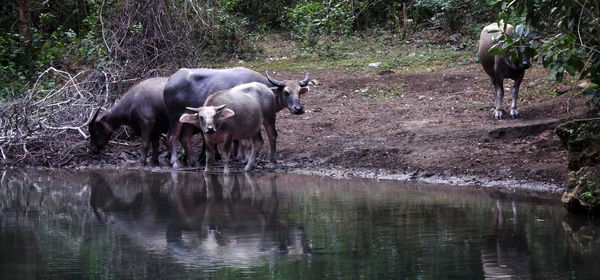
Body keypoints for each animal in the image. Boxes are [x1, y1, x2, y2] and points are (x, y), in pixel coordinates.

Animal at [164, 67, 310, 168]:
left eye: (299, 92)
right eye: (286, 92)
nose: (298, 109)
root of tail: (169, 82)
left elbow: (239, 140)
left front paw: (239, 157)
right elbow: (244, 141)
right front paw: (243, 158)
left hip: (187, 120)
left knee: (185, 138)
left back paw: (194, 162)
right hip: (175, 117)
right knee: (172, 137)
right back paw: (175, 162)